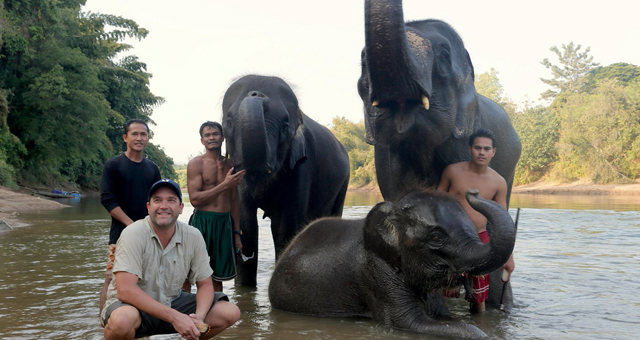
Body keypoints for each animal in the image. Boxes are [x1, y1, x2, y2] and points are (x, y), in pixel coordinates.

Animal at [220, 75, 350, 286]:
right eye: (229, 123)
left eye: (285, 126)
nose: (257, 94)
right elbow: (246, 225)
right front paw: (244, 288)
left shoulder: (302, 165)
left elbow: (285, 227)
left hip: (344, 184)